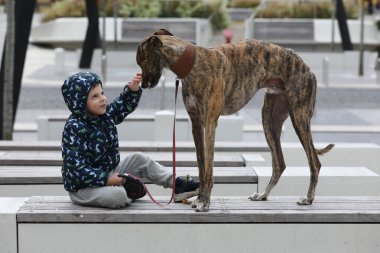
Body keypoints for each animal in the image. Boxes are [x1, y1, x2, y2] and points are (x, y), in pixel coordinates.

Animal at [137, 28, 332, 212]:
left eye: (141, 60)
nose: (143, 85)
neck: (194, 63)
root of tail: (307, 69)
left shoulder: (210, 122)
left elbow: (208, 168)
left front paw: (204, 202)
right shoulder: (196, 124)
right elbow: (201, 165)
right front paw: (199, 198)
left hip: (299, 115)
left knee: (314, 162)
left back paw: (308, 198)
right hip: (270, 119)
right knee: (279, 163)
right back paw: (263, 195)